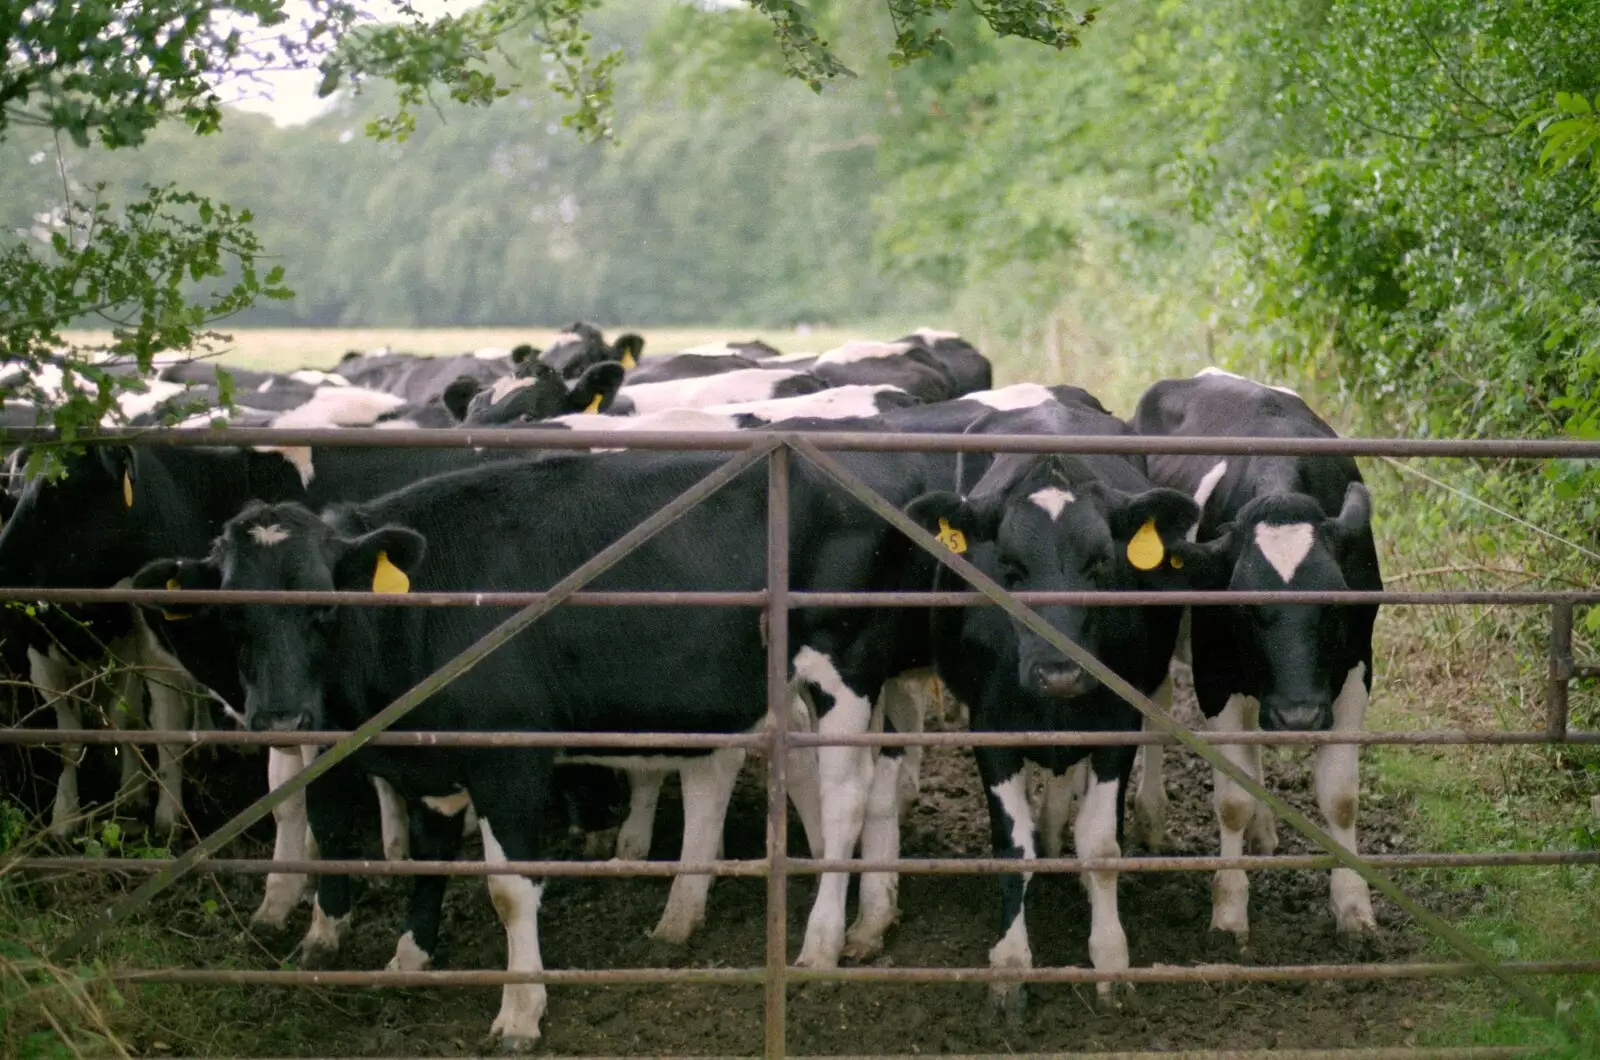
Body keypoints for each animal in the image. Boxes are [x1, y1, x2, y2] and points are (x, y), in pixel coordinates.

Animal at [902, 397, 1209, 1011]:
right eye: (1009, 568)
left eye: (1101, 564)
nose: (1059, 672)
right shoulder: (991, 729)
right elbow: (1012, 847)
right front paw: (1010, 964)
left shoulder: (1116, 722)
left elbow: (1102, 844)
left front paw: (1111, 958)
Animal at [1132, 368, 1382, 947]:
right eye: (1243, 605)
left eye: (1335, 601)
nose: (1299, 715)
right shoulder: (1215, 674)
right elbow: (1230, 800)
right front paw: (1228, 911)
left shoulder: (1356, 671)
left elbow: (1340, 795)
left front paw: (1354, 907)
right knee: (1156, 705)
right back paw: (1151, 819)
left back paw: (1264, 831)